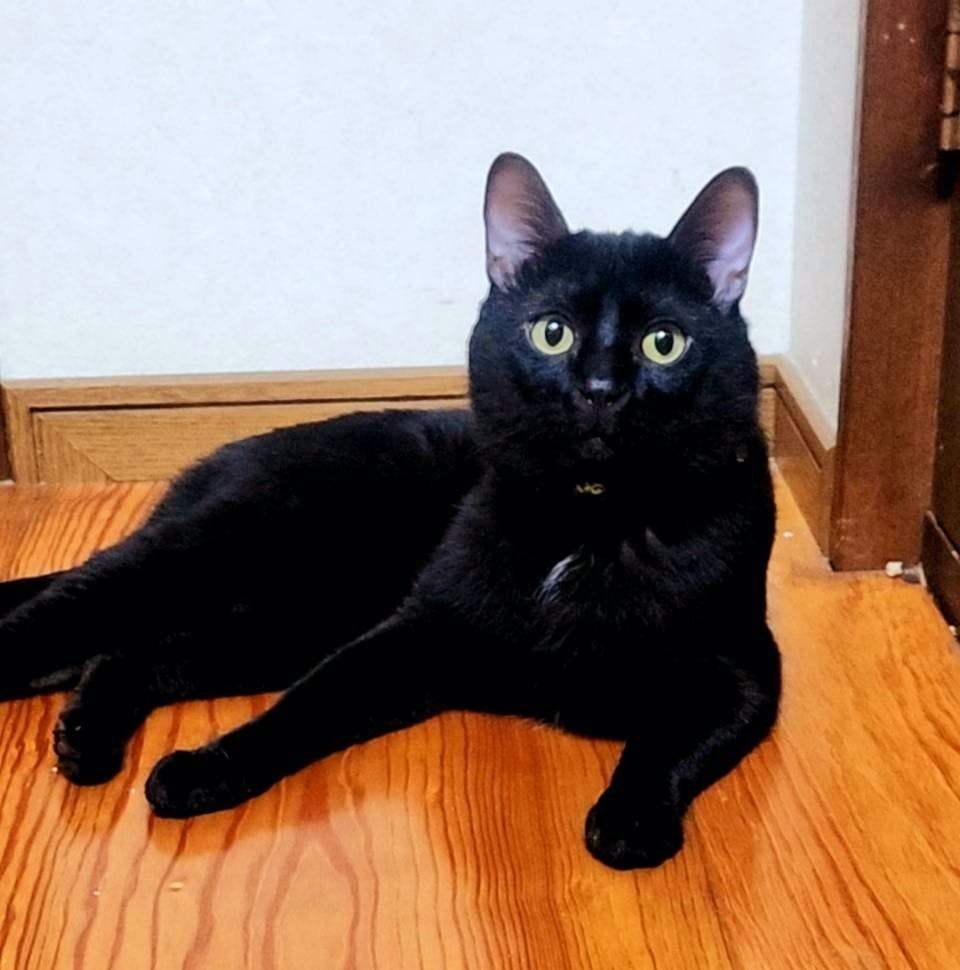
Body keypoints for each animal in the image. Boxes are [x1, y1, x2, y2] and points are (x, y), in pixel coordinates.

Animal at [0, 153, 779, 870]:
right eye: (551, 333)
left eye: (664, 342)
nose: (599, 389)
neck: (589, 526)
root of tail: (218, 458)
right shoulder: (416, 631)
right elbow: (310, 704)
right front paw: (208, 767)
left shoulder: (742, 667)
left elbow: (673, 739)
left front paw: (630, 818)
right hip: (216, 553)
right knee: (76, 605)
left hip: (285, 621)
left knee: (131, 651)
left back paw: (84, 737)